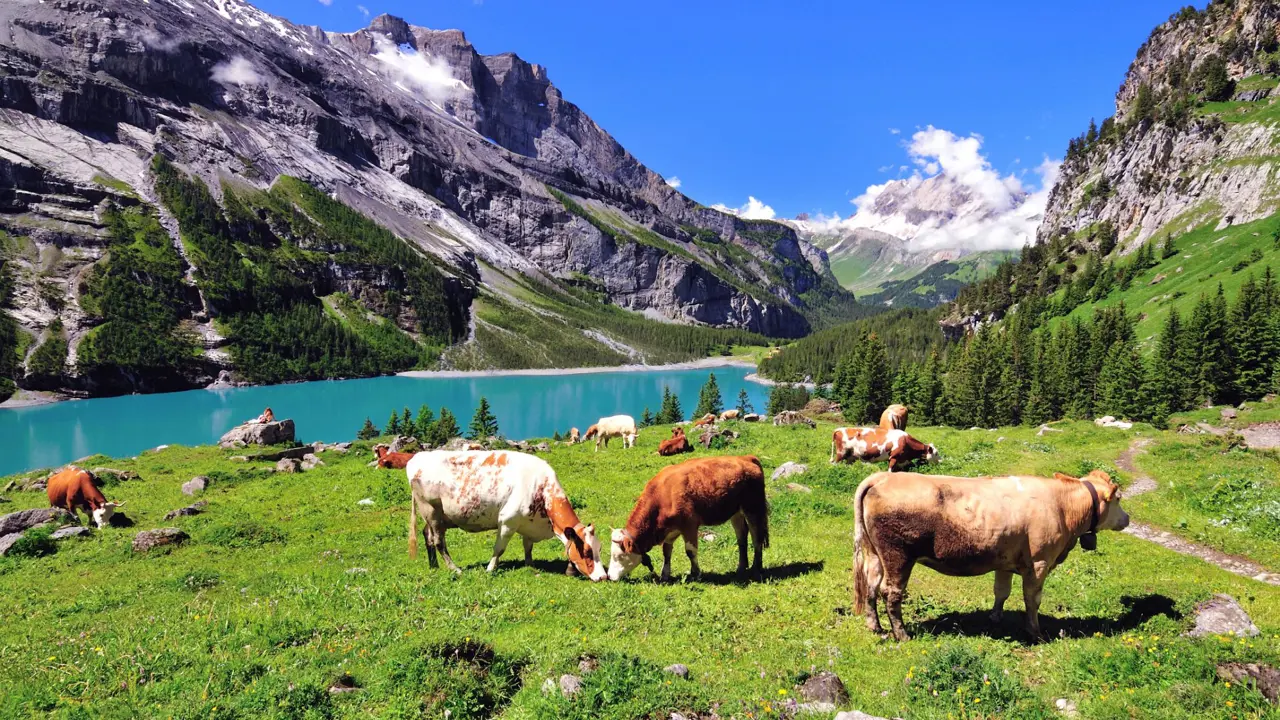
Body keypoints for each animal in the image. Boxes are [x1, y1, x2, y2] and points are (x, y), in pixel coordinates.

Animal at [409, 448, 609, 576]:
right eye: (587, 552)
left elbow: (528, 547)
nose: (603, 577)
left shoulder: (527, 522)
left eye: (599, 548)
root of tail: (416, 458)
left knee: (427, 535)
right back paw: (455, 569)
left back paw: (434, 566)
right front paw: (490, 568)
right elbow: (499, 548)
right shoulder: (507, 521)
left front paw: (530, 565)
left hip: (433, 516)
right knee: (438, 542)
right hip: (432, 511)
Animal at [604, 456, 762, 579]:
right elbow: (666, 551)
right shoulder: (670, 529)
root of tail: (746, 458)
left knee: (756, 537)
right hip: (736, 513)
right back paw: (741, 568)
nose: (610, 576)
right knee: (742, 537)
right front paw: (665, 574)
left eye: (619, 556)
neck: (661, 496)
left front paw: (695, 573)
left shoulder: (689, 525)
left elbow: (690, 551)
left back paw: (756, 568)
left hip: (753, 509)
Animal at [855, 466, 1126, 638]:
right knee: (891, 593)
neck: (1061, 507)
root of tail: (882, 477)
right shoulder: (1039, 563)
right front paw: (1035, 632)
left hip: (874, 553)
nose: (1127, 518)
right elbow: (1032, 599)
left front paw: (996, 618)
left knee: (871, 586)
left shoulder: (1005, 562)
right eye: (1119, 499)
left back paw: (875, 627)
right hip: (898, 556)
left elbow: (1001, 592)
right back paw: (901, 634)